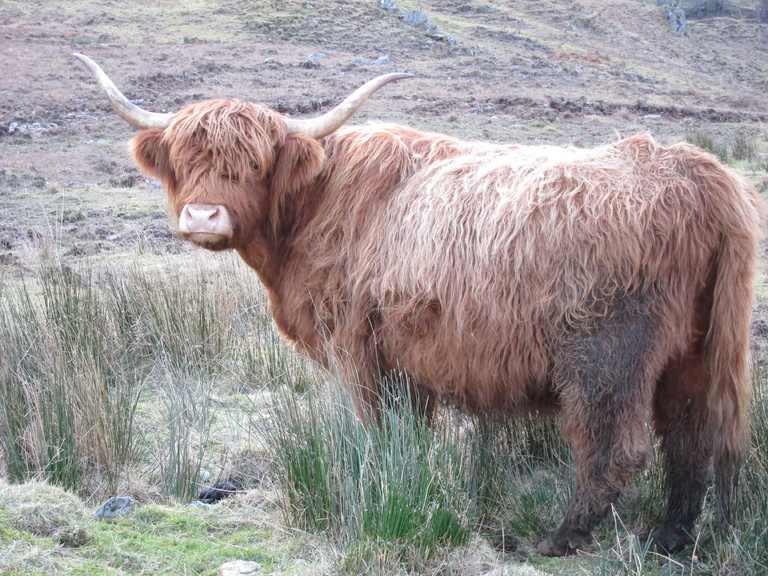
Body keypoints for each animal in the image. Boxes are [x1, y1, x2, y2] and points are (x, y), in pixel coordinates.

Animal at [75, 55, 764, 560]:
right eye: (185, 160)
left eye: (254, 163)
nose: (203, 217)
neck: (314, 207)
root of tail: (699, 171)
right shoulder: (407, 362)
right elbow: (409, 434)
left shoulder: (357, 349)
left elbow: (378, 432)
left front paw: (380, 490)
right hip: (696, 353)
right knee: (693, 441)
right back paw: (670, 538)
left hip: (605, 357)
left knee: (617, 448)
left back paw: (560, 538)